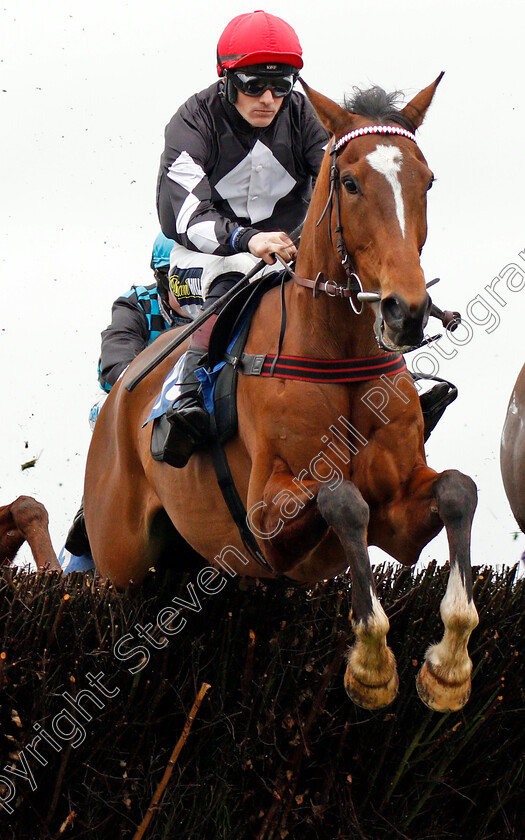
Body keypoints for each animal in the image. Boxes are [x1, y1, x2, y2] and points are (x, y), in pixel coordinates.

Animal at [83, 75, 478, 712]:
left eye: (427, 181)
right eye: (350, 183)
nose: (407, 311)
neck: (335, 353)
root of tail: (119, 392)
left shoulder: (399, 518)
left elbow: (457, 489)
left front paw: (449, 667)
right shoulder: (268, 517)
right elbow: (342, 497)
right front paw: (372, 665)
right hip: (121, 558)